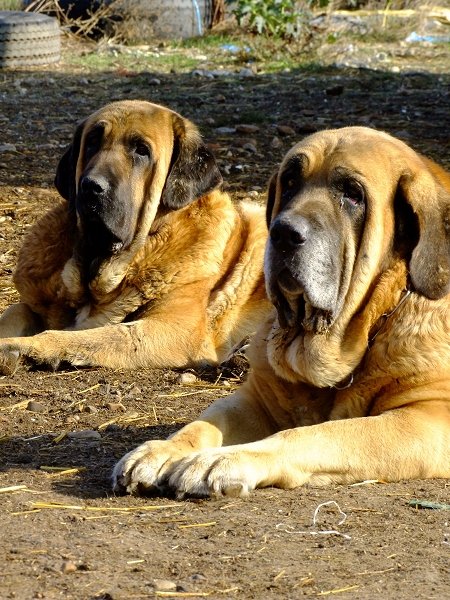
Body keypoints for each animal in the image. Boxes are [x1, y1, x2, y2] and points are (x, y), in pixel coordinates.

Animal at [0, 101, 270, 372]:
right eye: (92, 142)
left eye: (142, 151)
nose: (91, 185)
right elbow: (15, 311)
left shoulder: (173, 328)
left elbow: (82, 336)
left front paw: (18, 346)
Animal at [112, 126, 450, 496]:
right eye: (289, 182)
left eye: (353, 194)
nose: (283, 233)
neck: (379, 318)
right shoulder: (255, 401)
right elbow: (202, 424)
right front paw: (160, 451)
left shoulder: (428, 419)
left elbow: (314, 435)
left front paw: (223, 460)